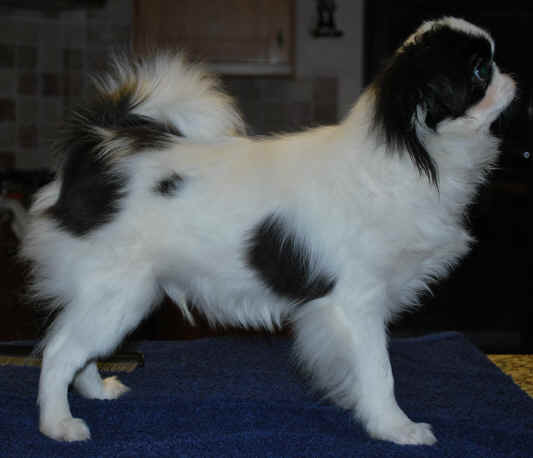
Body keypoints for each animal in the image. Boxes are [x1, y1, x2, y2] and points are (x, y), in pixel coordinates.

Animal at [21, 17, 515, 444]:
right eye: (480, 70)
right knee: (58, 351)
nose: (510, 78)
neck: (413, 153)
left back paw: (95, 391)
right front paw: (395, 428)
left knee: (76, 348)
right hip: (118, 293)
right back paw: (58, 424)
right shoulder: (356, 304)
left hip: (117, 296)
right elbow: (380, 372)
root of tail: (100, 147)